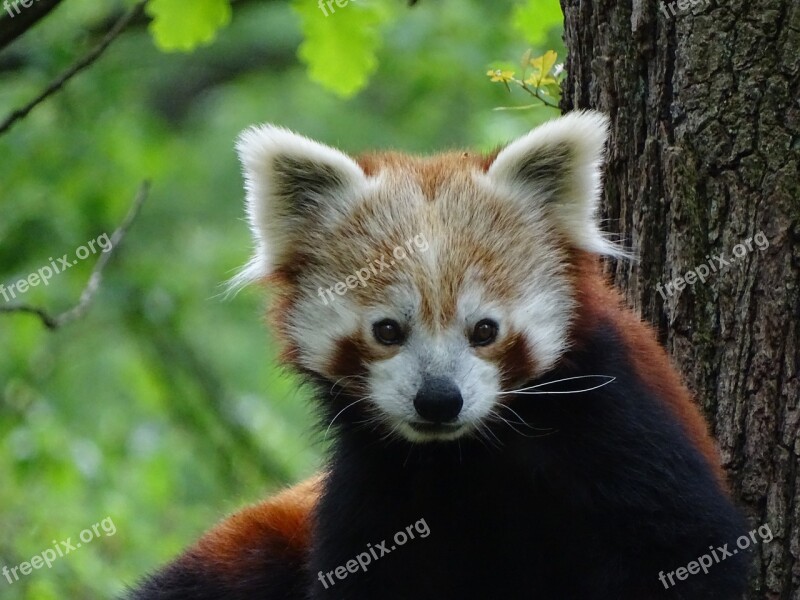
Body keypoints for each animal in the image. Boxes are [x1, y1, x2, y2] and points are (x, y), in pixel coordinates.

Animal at [126, 112, 752, 600]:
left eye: (484, 330)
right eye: (387, 330)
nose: (438, 401)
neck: (466, 455)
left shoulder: (614, 423)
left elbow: (679, 550)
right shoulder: (375, 480)